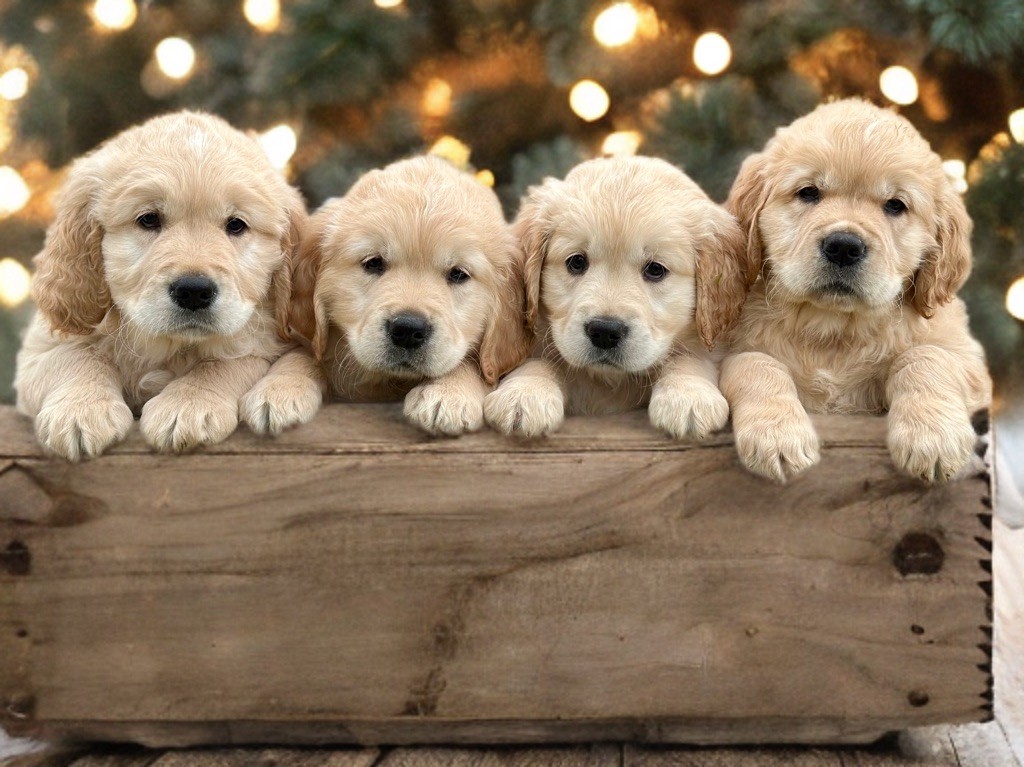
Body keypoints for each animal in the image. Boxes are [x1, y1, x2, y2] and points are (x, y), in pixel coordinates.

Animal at [14, 110, 303, 458]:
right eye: (148, 219)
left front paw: (187, 404)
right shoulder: (38, 350)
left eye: (236, 225)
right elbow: (75, 357)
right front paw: (80, 410)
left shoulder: (261, 340)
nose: (194, 291)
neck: (168, 346)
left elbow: (226, 363)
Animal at [238, 153, 528, 436]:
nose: (408, 330)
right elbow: (305, 354)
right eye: (373, 263)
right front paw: (279, 388)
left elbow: (475, 364)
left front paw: (448, 393)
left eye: (458, 274)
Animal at [483, 155, 749, 436]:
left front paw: (687, 394)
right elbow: (541, 360)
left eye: (655, 269)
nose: (604, 331)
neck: (609, 381)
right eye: (576, 262)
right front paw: (524, 391)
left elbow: (690, 357)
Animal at [720, 98, 991, 481]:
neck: (833, 330)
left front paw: (933, 437)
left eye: (896, 205)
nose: (844, 246)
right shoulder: (731, 349)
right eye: (808, 192)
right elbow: (755, 363)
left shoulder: (967, 359)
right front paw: (777, 436)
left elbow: (926, 357)